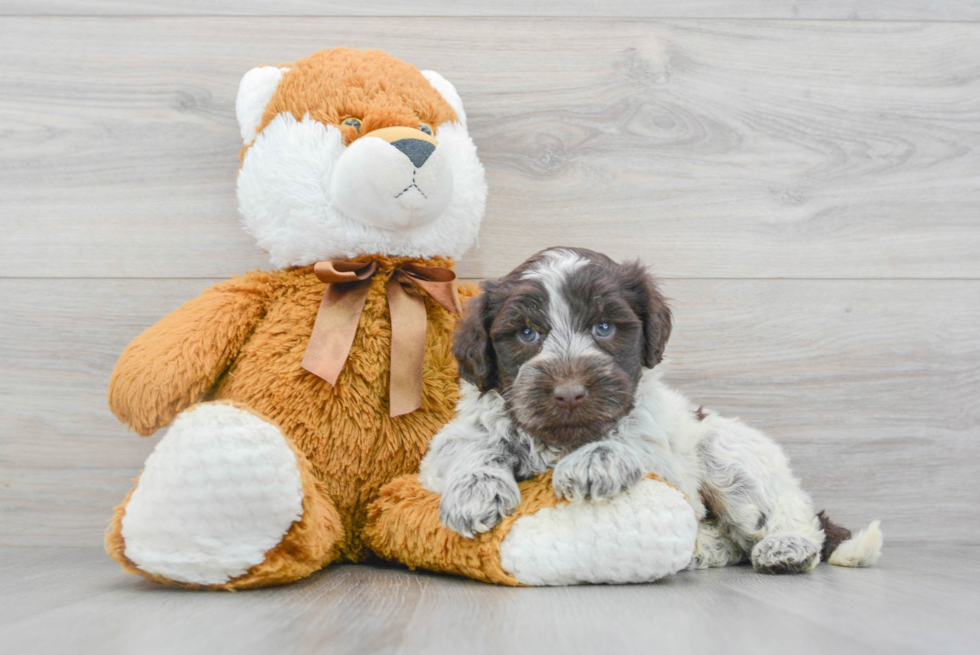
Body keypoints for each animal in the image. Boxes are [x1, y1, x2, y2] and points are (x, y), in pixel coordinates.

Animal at [418, 249, 884, 576]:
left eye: (604, 327)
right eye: (528, 333)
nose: (569, 393)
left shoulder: (668, 458)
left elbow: (634, 440)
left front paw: (596, 460)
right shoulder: (451, 439)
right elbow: (470, 447)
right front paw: (475, 490)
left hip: (724, 447)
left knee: (789, 511)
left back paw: (787, 546)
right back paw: (705, 549)